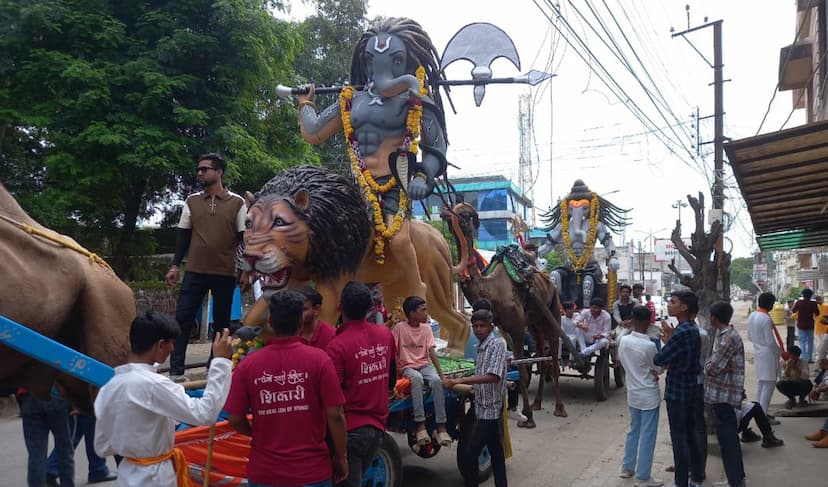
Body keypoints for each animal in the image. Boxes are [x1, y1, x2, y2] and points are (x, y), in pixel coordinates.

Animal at [444, 202, 572, 428]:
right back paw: (538, 403)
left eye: (465, 216)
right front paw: (524, 410)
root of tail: (548, 280)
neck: (491, 290)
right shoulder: (503, 328)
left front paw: (527, 416)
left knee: (554, 359)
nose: (444, 213)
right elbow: (514, 368)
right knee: (542, 358)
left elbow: (522, 371)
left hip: (553, 310)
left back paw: (559, 408)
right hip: (535, 323)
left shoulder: (517, 328)